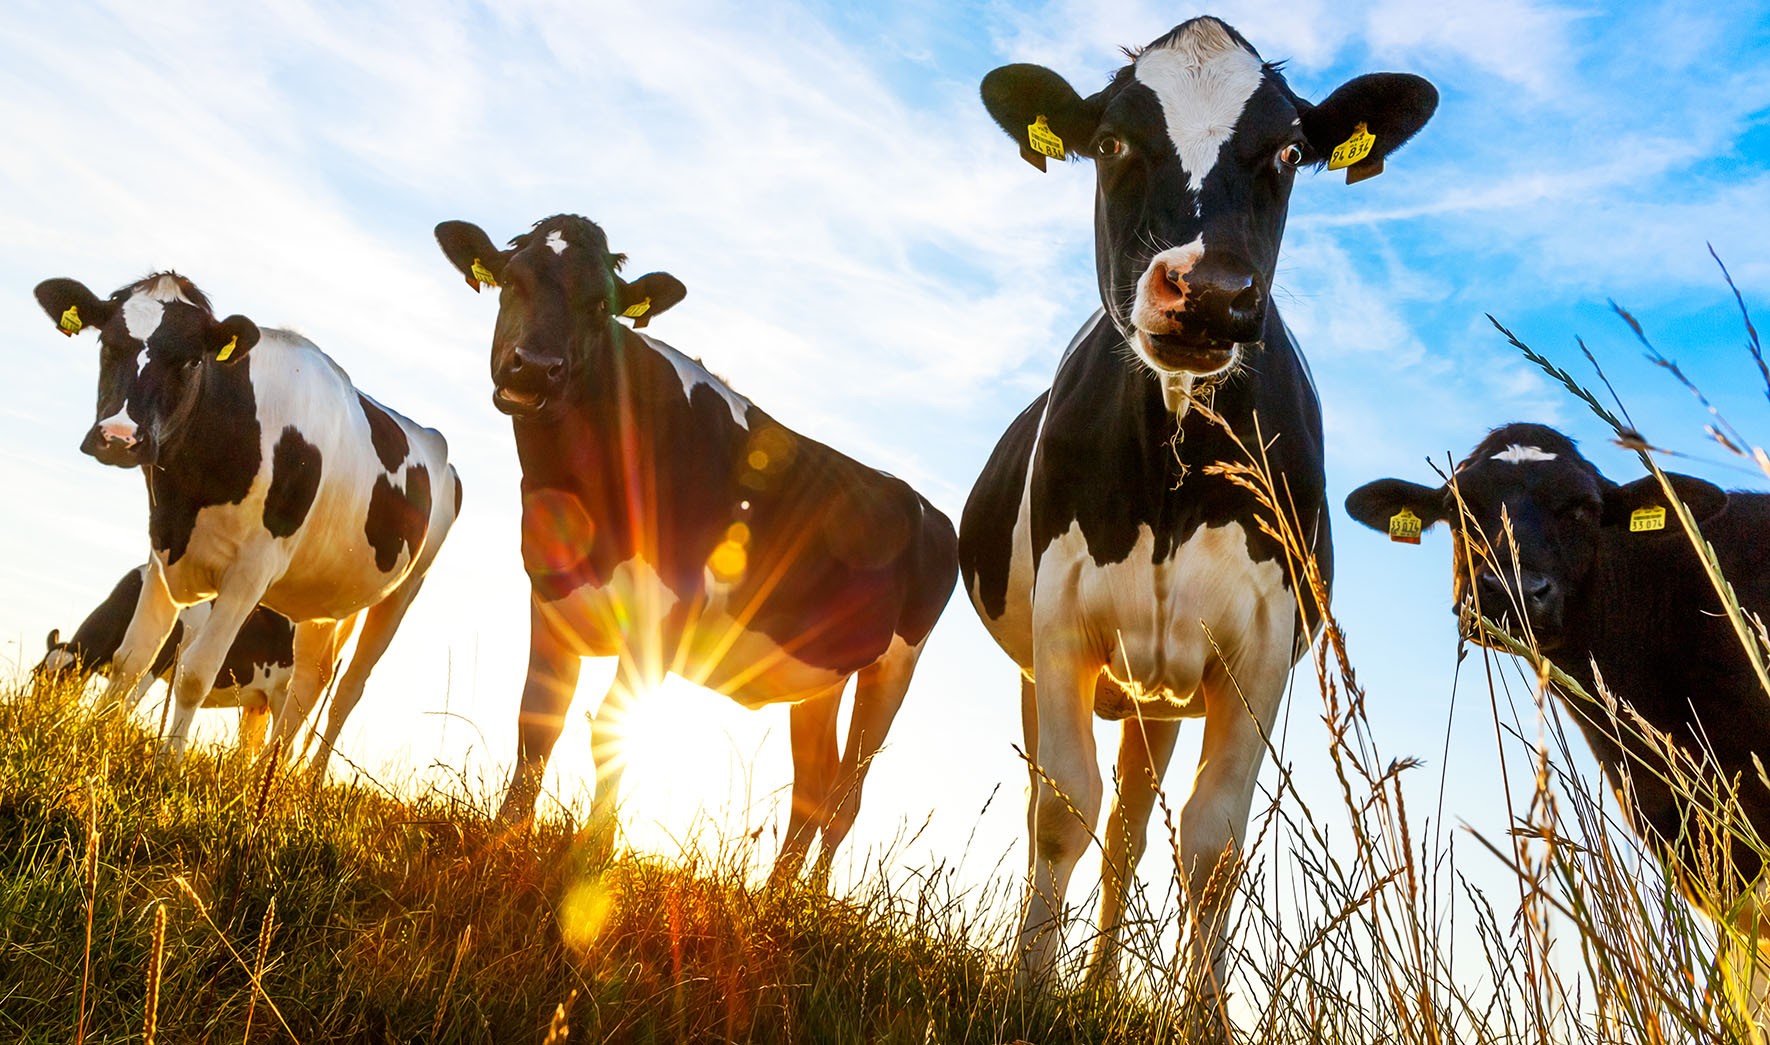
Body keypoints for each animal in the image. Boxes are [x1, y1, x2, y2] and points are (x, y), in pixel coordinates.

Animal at [38, 564, 296, 754]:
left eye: (64, 677)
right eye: (36, 676)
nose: (39, 710)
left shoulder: (159, 658)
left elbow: (129, 702)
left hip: (283, 696)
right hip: (258, 703)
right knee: (249, 747)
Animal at [434, 214, 958, 878]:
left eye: (598, 305)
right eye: (509, 281)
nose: (533, 368)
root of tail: (923, 503)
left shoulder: (663, 614)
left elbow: (615, 729)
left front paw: (590, 860)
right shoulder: (550, 597)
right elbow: (537, 721)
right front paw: (503, 843)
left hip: (894, 667)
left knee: (846, 796)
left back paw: (805, 900)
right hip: (820, 675)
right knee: (813, 787)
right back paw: (772, 896)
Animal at [957, 15, 1437, 1003]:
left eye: (1289, 152)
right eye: (1111, 143)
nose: (1211, 290)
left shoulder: (1260, 653)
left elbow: (1211, 844)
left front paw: (1200, 1010)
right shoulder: (1060, 625)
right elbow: (1062, 809)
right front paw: (1029, 989)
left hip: (1162, 698)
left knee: (1134, 830)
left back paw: (1102, 989)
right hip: (1058, 671)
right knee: (1070, 810)